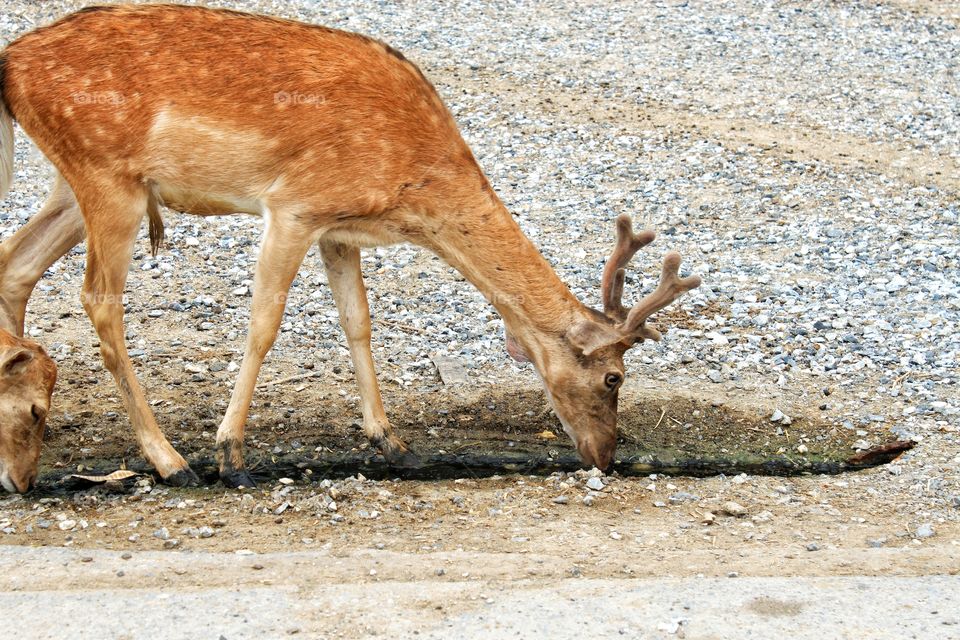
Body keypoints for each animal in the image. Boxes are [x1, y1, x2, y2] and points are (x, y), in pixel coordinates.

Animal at [0, 4, 700, 491]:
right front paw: (231, 456)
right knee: (98, 299)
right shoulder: (294, 205)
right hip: (106, 177)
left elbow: (359, 322)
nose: (607, 456)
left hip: (77, 186)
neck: (412, 188)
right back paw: (172, 461)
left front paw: (393, 443)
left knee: (17, 265)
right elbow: (264, 324)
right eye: (613, 376)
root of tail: (10, 64)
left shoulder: (339, 229)